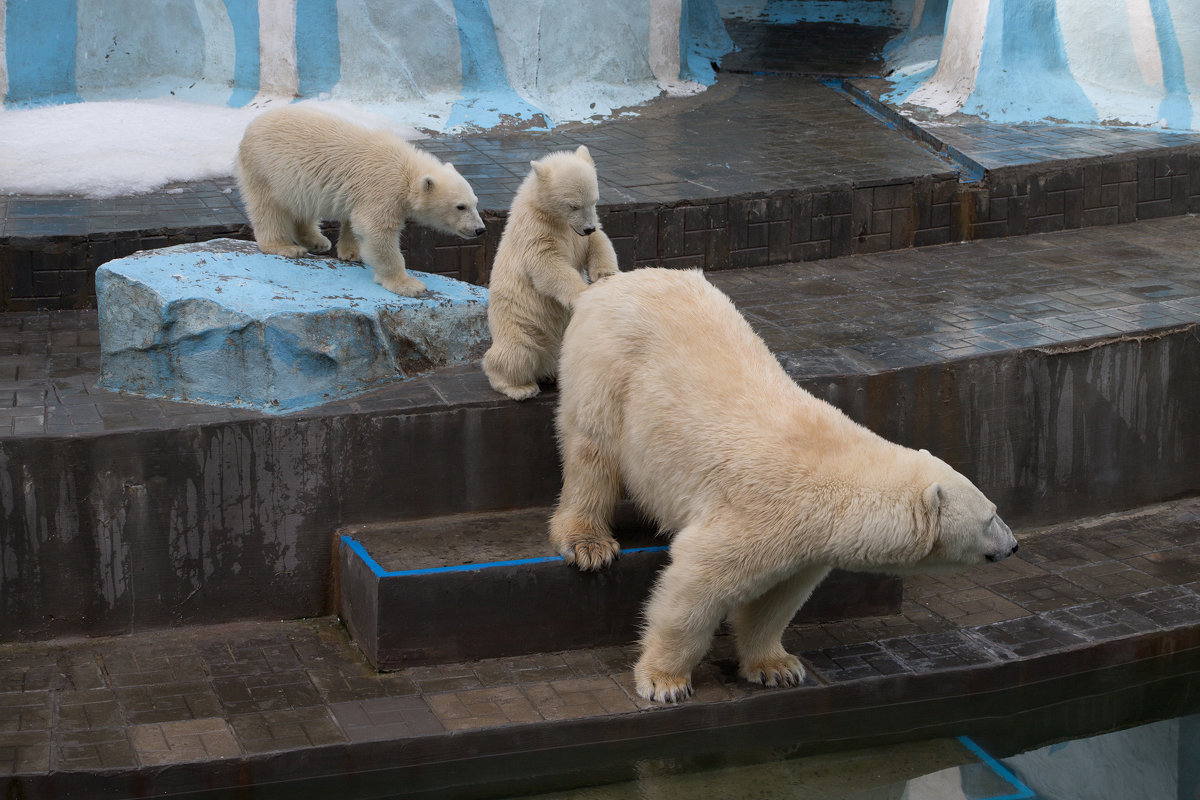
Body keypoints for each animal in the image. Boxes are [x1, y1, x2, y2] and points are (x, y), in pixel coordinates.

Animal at [236, 104, 484, 296]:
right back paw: (285, 247)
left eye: (475, 202)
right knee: (269, 208)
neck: (406, 168)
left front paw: (352, 252)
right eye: (460, 206)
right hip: (265, 169)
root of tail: (252, 125)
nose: (480, 229)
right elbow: (376, 230)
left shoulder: (363, 192)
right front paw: (409, 285)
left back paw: (317, 241)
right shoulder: (383, 188)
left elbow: (354, 221)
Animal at [549, 268, 1017, 700]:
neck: (836, 478)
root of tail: (609, 283)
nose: (1013, 545)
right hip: (608, 367)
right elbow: (694, 586)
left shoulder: (805, 543)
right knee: (593, 451)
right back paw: (588, 542)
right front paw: (665, 681)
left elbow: (777, 600)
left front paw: (777, 667)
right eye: (990, 515)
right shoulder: (759, 512)